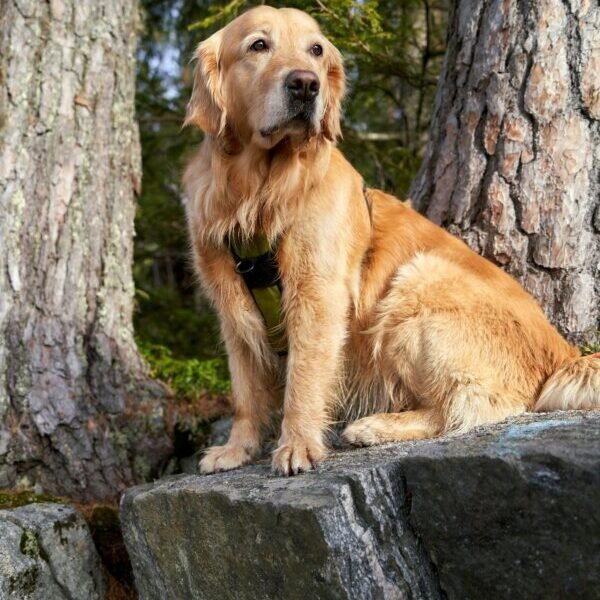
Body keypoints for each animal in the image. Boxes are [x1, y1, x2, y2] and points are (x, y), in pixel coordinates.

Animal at [183, 4, 600, 474]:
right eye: (258, 45)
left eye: (316, 50)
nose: (306, 84)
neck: (260, 192)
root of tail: (564, 352)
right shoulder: (231, 308)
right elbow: (244, 392)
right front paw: (237, 449)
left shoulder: (317, 295)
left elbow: (303, 380)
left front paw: (297, 446)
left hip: (417, 284)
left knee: (466, 407)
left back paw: (375, 426)